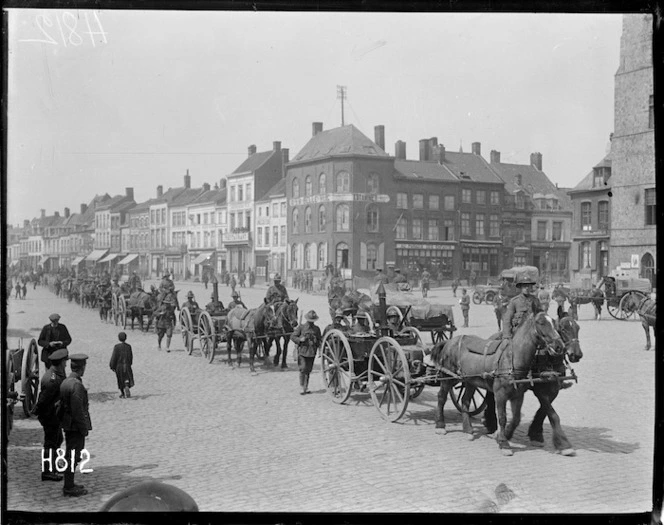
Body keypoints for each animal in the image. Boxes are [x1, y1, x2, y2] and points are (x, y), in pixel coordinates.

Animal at [428, 312, 564, 454]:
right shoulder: (500, 394)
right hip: (447, 378)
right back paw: (440, 425)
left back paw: (468, 429)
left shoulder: (518, 395)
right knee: (441, 397)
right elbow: (502, 417)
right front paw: (503, 442)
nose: (559, 346)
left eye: (554, 323)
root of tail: (449, 342)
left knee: (465, 400)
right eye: (541, 323)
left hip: (470, 381)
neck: (511, 359)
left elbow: (516, 418)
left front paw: (505, 435)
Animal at [480, 316, 584, 454]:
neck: (549, 360)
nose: (577, 355)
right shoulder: (540, 391)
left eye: (577, 328)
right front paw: (563, 443)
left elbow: (544, 412)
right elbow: (552, 414)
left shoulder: (553, 390)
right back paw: (489, 422)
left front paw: (536, 434)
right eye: (563, 329)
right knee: (490, 398)